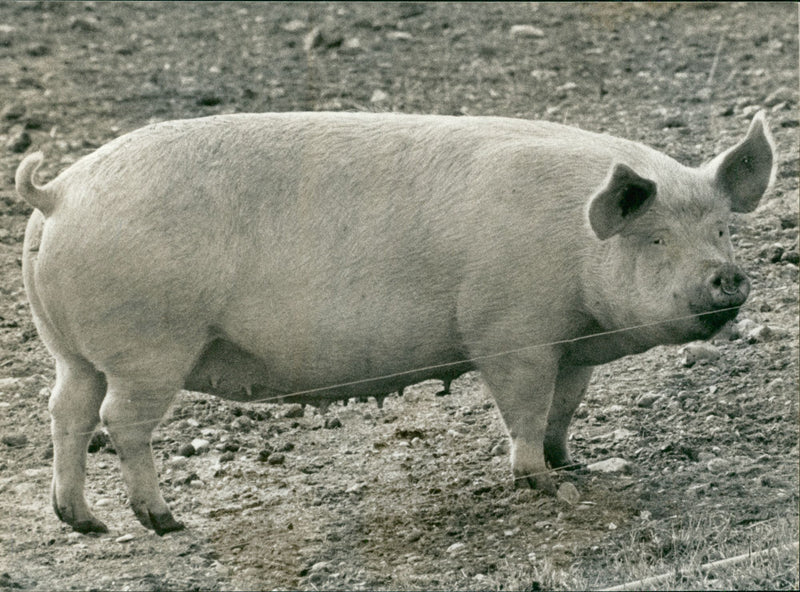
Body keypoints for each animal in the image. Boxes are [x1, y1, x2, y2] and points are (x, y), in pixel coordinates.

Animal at [16, 111, 775, 535]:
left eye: (722, 230)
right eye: (656, 239)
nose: (727, 276)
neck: (576, 249)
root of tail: (58, 193)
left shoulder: (571, 347)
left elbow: (564, 407)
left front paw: (572, 464)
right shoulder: (511, 332)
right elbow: (526, 407)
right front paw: (539, 481)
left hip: (72, 351)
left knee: (66, 411)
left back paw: (83, 523)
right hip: (150, 342)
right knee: (121, 421)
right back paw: (164, 522)